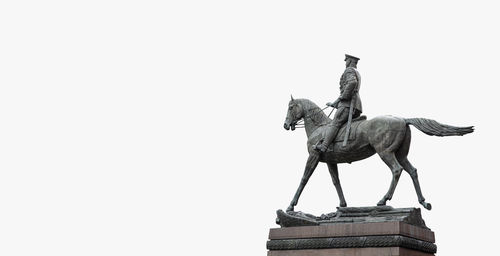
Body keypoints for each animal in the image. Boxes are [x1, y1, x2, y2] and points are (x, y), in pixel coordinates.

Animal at [284, 96, 474, 212]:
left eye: (291, 107)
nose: (285, 124)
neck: (319, 127)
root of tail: (403, 120)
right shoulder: (332, 161)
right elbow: (336, 182)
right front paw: (343, 205)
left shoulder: (313, 156)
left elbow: (304, 178)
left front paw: (291, 206)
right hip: (401, 154)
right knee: (412, 171)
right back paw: (423, 202)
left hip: (385, 152)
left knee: (397, 170)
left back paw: (384, 200)